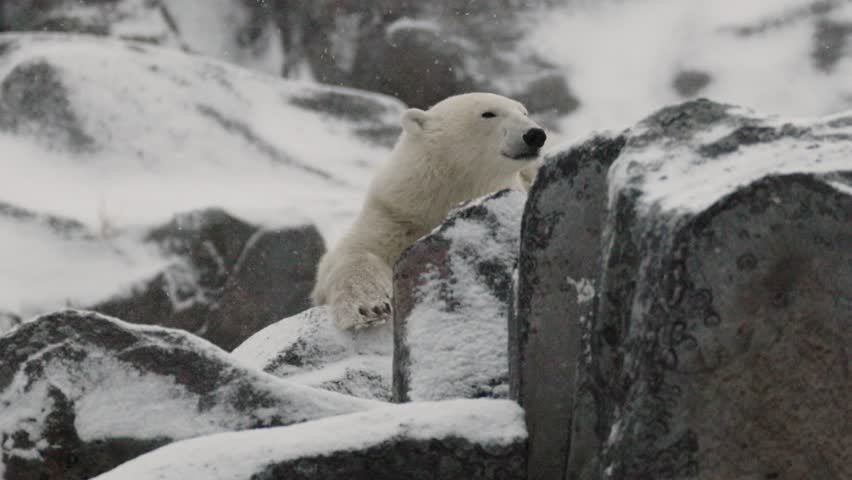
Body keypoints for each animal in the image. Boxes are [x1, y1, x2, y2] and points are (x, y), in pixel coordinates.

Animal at [311, 92, 546, 330]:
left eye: (524, 112)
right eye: (488, 113)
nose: (535, 134)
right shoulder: (396, 214)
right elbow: (353, 252)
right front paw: (370, 307)